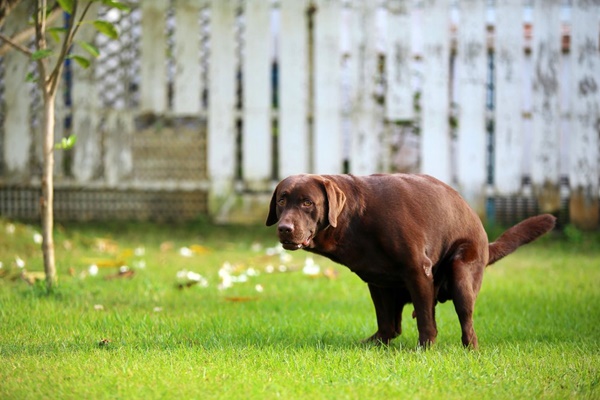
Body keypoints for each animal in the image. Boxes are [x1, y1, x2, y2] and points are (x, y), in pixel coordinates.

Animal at [264, 173, 556, 348]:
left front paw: (425, 349)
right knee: (394, 325)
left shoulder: (418, 270)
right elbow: (385, 321)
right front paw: (376, 345)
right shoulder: (377, 282)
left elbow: (426, 320)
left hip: (462, 272)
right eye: (281, 200)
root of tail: (485, 239)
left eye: (307, 203)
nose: (284, 228)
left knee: (467, 323)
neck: (356, 218)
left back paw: (470, 349)